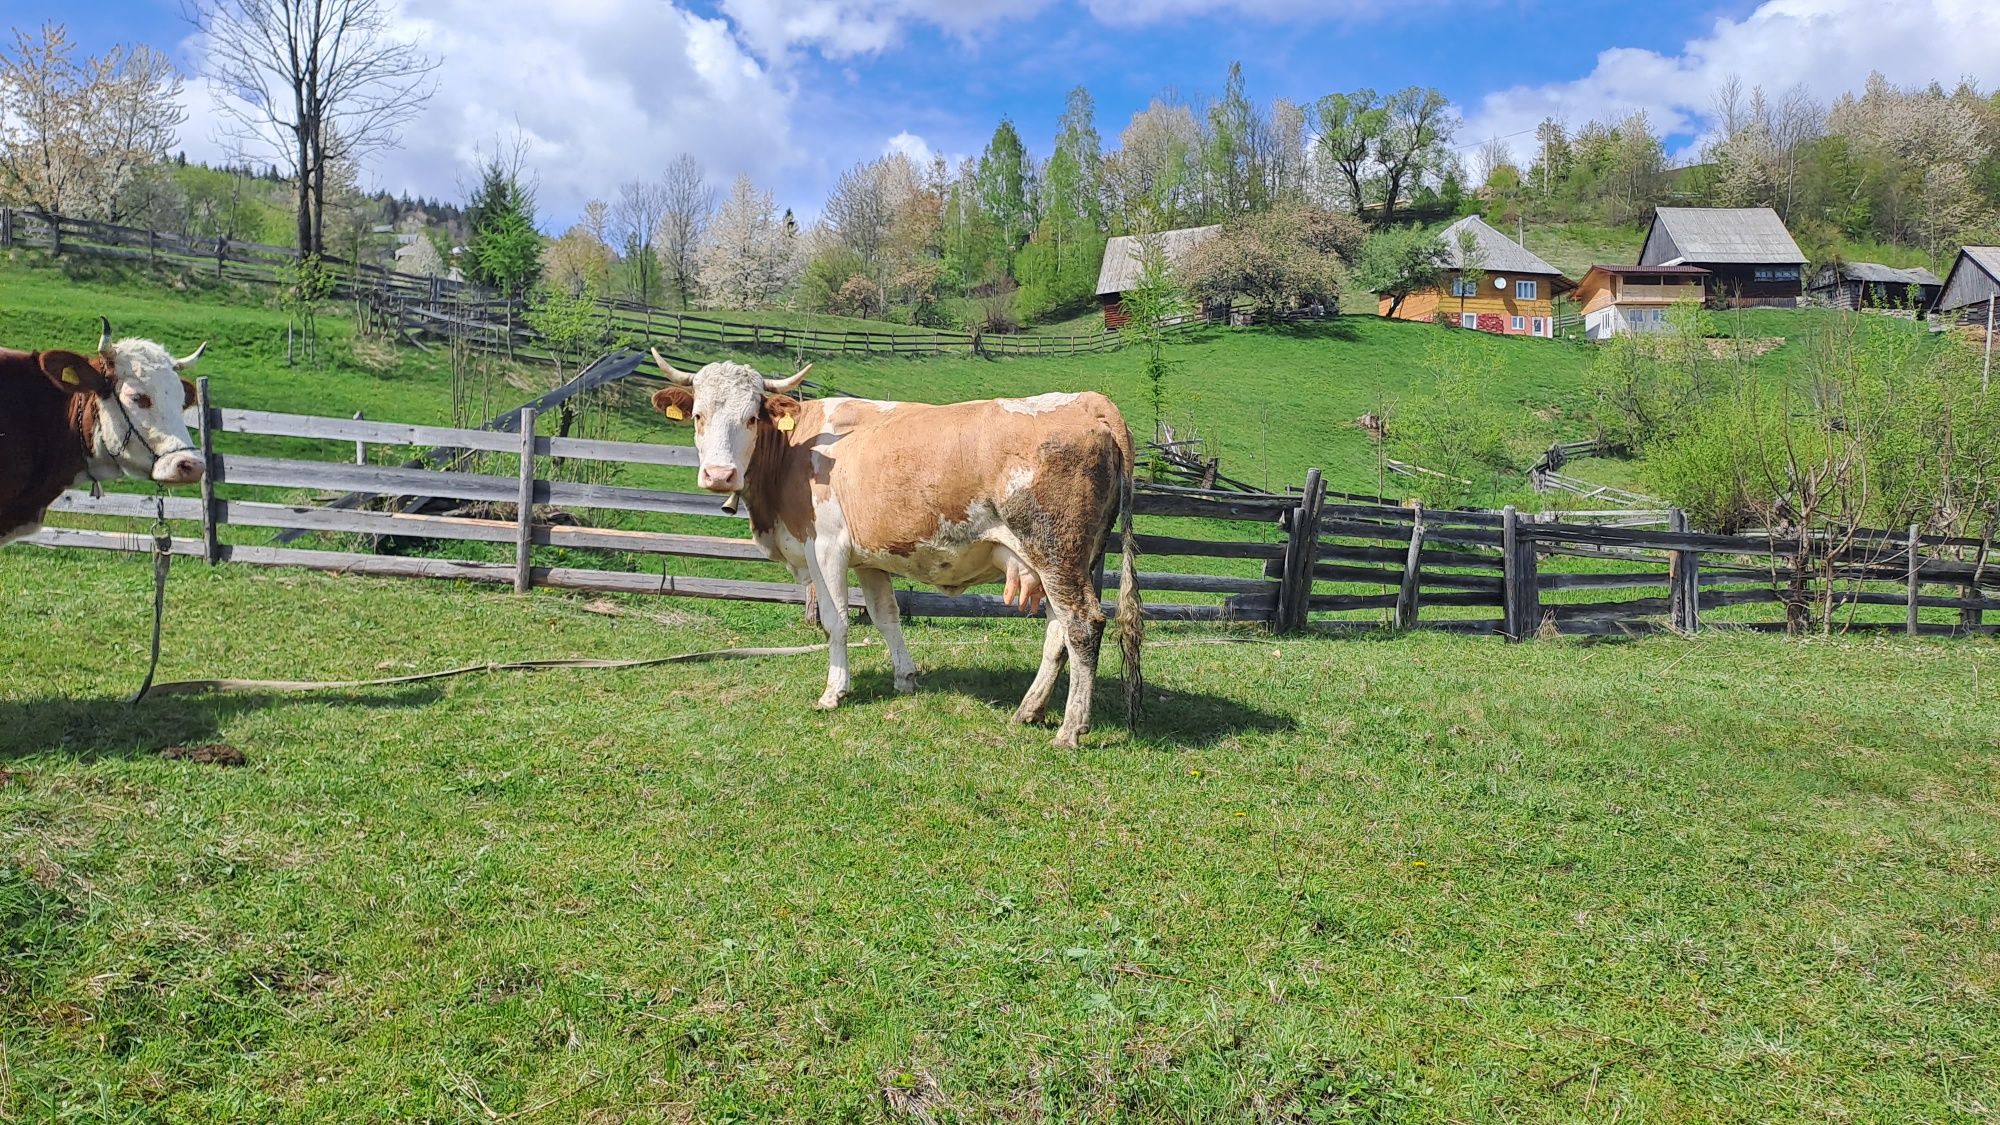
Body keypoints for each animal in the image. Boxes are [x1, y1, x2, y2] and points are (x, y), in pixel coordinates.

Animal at [648, 350, 1136, 744]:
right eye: (698, 416)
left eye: (751, 417)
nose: (719, 475)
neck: (795, 449)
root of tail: (1088, 401)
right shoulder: (869, 558)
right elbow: (885, 616)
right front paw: (905, 678)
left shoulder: (826, 547)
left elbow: (836, 621)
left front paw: (834, 691)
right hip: (1069, 559)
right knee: (1057, 631)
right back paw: (1029, 710)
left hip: (1057, 553)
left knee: (1082, 626)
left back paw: (1070, 729)